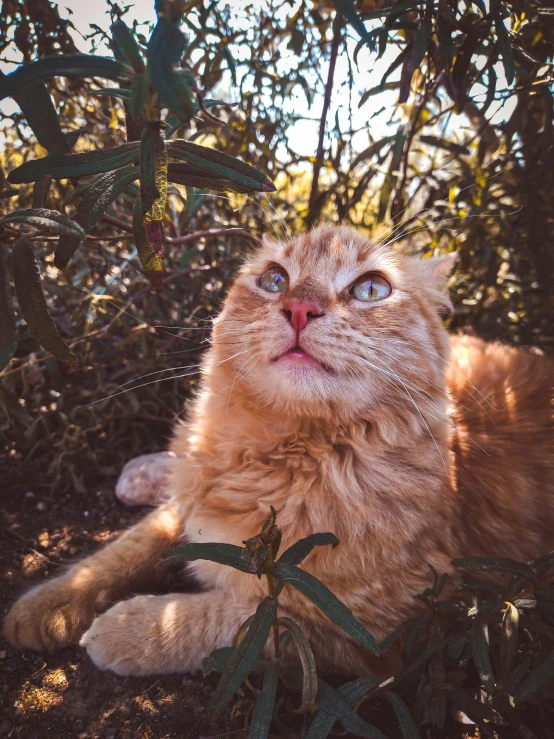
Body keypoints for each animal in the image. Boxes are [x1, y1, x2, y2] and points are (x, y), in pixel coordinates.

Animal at [5, 225, 552, 676]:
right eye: (274, 280)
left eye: (371, 289)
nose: (299, 309)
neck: (275, 458)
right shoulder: (192, 505)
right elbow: (124, 549)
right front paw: (45, 605)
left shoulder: (380, 627)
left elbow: (234, 619)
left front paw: (130, 628)